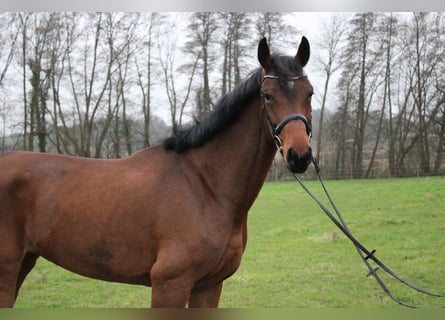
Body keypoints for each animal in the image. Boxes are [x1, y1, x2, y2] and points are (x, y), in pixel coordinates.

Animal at [0, 37, 312, 308]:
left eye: (310, 94)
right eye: (268, 96)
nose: (299, 155)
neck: (205, 186)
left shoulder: (209, 286)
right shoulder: (170, 284)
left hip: (25, 262)